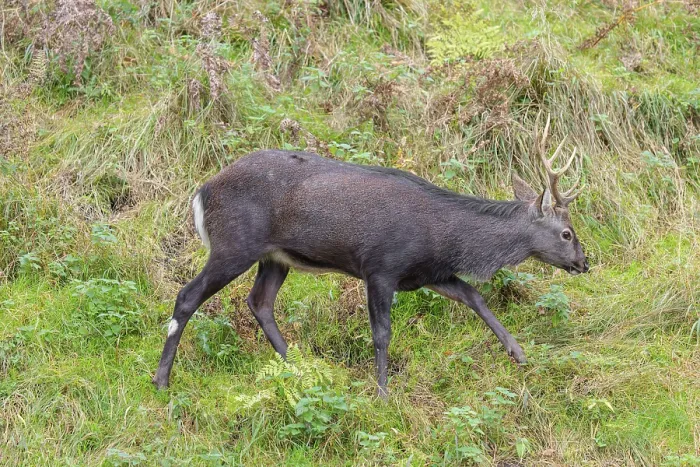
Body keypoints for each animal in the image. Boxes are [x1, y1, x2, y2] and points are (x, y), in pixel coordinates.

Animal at [153, 117, 589, 397]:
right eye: (567, 232)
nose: (585, 263)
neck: (443, 236)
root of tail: (202, 192)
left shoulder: (428, 272)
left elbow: (474, 296)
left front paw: (518, 353)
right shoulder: (381, 266)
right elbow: (382, 333)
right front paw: (382, 393)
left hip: (274, 256)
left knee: (259, 302)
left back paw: (302, 367)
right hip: (234, 244)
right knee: (187, 296)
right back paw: (162, 381)